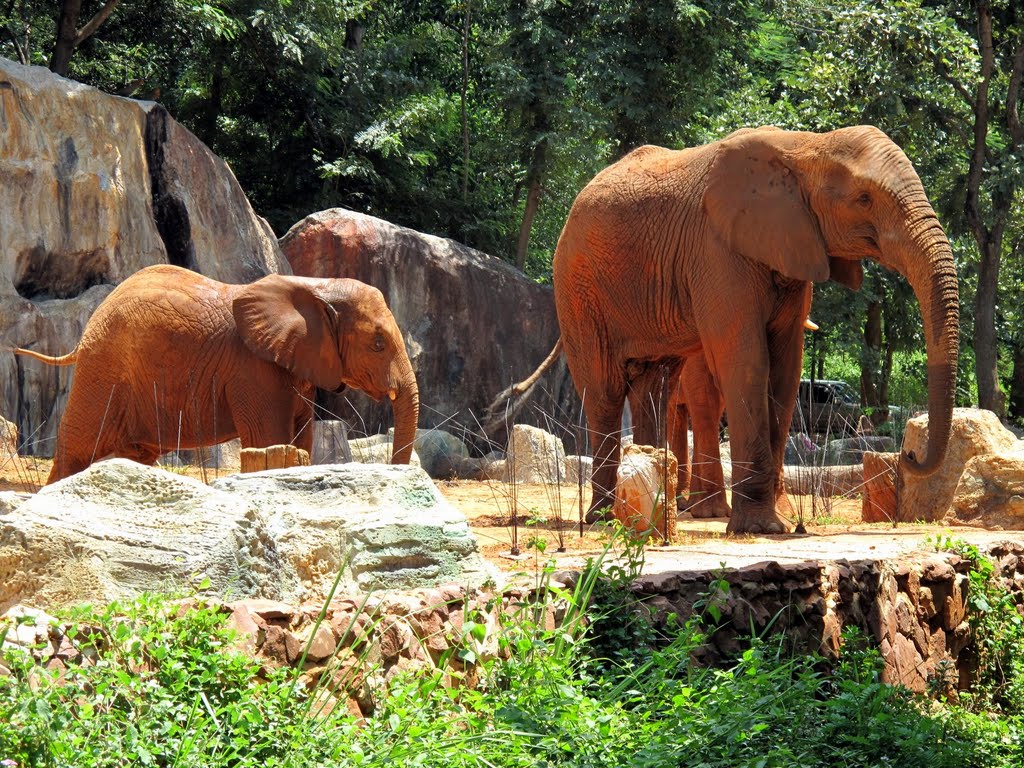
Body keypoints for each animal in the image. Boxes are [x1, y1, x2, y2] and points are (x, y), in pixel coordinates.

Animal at [14, 264, 419, 481]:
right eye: (378, 343)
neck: (314, 285)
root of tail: (87, 328)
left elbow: (300, 440)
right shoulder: (253, 370)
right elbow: (268, 438)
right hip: (104, 368)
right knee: (77, 447)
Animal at [548, 126, 954, 536]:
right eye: (864, 199)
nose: (909, 454)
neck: (807, 146)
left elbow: (786, 372)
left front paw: (780, 522)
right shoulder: (716, 251)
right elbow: (746, 362)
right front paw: (760, 528)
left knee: (655, 389)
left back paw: (652, 514)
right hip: (577, 287)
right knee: (605, 391)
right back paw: (604, 518)